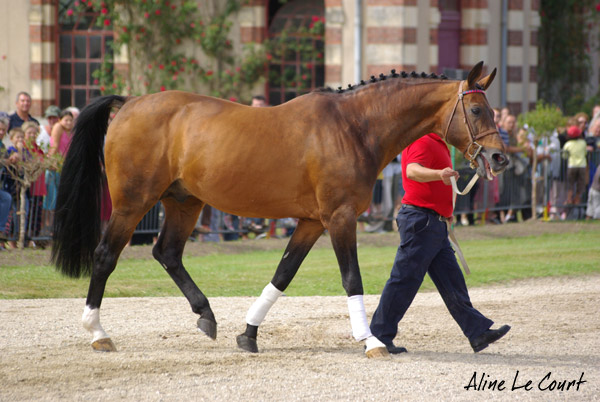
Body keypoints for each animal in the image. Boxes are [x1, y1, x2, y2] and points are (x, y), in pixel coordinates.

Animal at [52, 60, 506, 358]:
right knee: (105, 256)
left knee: (167, 253)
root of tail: (129, 103)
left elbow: (283, 274)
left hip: (184, 202)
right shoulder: (340, 217)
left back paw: (206, 315)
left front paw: (249, 334)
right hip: (133, 203)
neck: (354, 128)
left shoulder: (311, 221)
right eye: (477, 109)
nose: (500, 158)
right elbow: (352, 279)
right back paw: (97, 332)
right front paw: (373, 341)